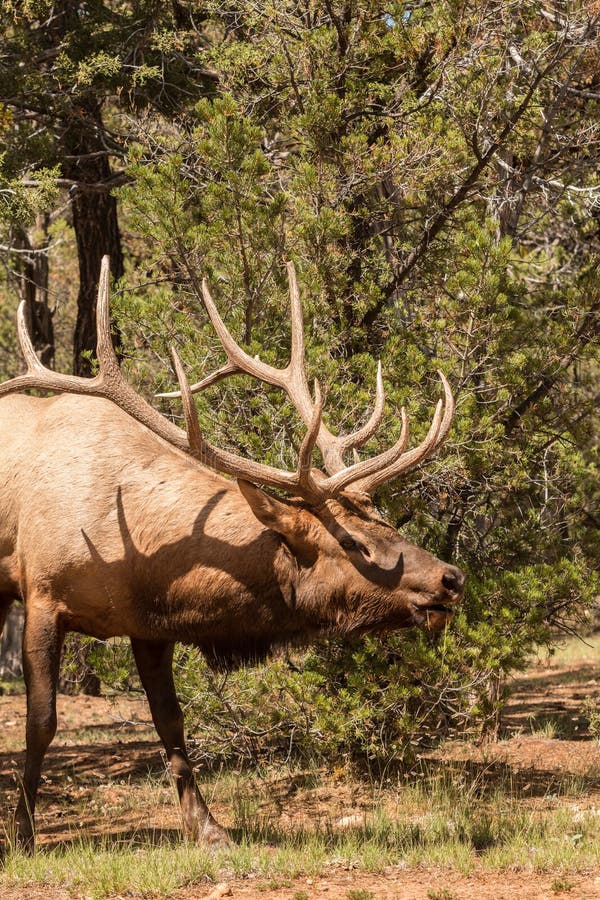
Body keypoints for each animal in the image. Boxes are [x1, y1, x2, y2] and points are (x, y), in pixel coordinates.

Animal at [0, 257, 465, 850]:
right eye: (352, 543)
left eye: (384, 519)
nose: (451, 577)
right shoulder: (42, 596)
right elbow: (41, 722)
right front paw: (22, 833)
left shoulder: (148, 625)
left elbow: (171, 722)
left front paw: (207, 827)